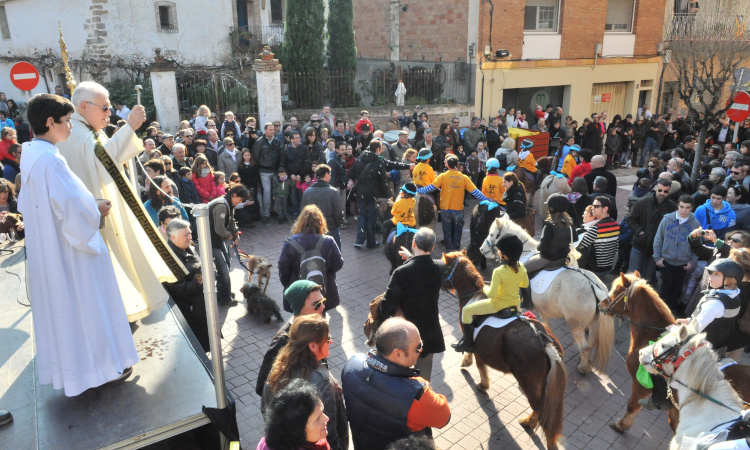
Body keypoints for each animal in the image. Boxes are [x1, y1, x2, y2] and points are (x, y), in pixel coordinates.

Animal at [444, 250, 568, 450]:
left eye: (445, 268)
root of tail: (544, 342)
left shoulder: (473, 342)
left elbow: (478, 363)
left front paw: (479, 380)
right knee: (540, 408)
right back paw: (528, 422)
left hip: (529, 383)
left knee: (542, 412)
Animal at [482, 213, 616, 374]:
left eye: (491, 234)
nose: (481, 250)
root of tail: (594, 287)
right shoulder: (543, 309)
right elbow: (547, 326)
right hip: (593, 321)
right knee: (591, 343)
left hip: (575, 324)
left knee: (584, 345)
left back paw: (583, 368)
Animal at [604, 270, 750, 436]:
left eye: (616, 291)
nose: (601, 304)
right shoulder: (676, 407)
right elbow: (673, 423)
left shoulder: (640, 385)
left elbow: (632, 406)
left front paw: (621, 425)